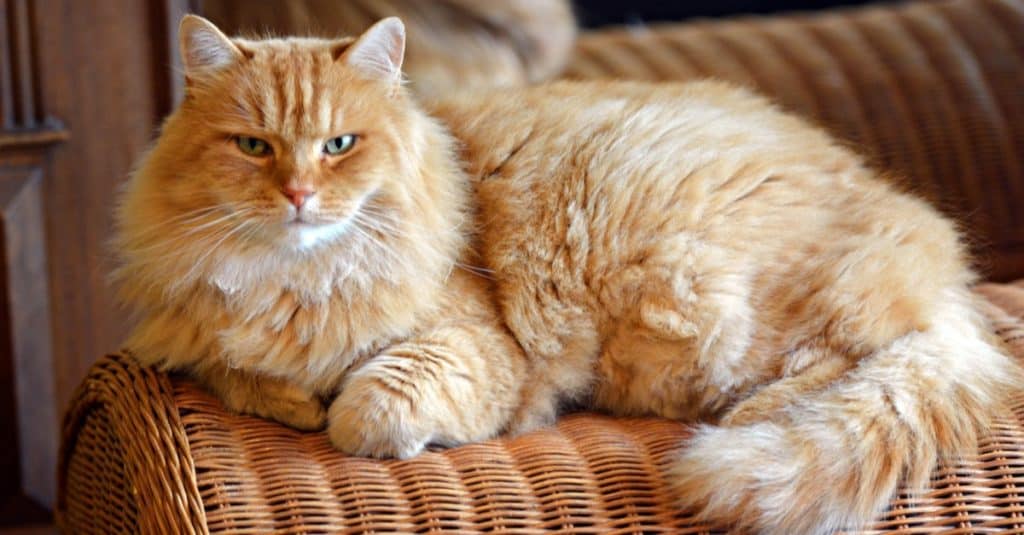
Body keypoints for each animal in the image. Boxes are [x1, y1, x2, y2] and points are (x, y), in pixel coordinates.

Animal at [108, 14, 1019, 528]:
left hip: (706, 300)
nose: (298, 195)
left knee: (855, 360)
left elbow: (368, 408)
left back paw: (750, 416)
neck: (297, 279)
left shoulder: (477, 345)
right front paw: (291, 396)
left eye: (339, 145)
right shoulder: (205, 341)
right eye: (252, 146)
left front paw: (355, 417)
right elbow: (243, 376)